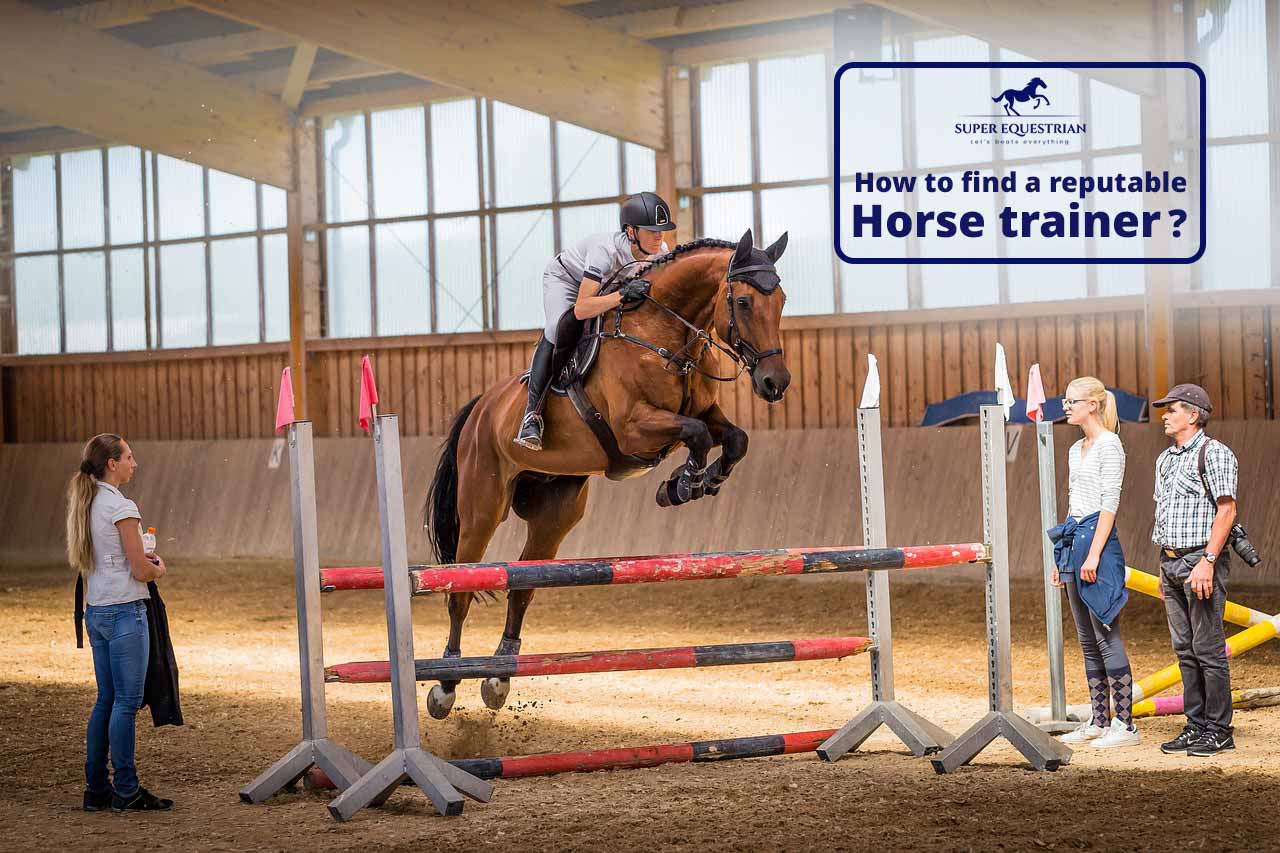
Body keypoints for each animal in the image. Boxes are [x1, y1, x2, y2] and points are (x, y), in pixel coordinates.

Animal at [421, 229, 792, 718]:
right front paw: (683, 484)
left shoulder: (704, 412)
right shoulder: (635, 428)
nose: (775, 383)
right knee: (461, 588)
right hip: (482, 507)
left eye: (782, 300)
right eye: (745, 302)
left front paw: (698, 482)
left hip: (555, 512)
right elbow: (694, 435)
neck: (665, 336)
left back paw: (498, 678)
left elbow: (735, 439)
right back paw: (446, 684)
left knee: (522, 585)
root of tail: (482, 407)